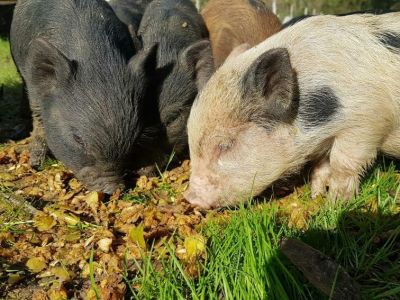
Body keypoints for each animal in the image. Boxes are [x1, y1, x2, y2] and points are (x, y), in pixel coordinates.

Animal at [10, 0, 158, 192]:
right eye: (78, 139)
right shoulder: (34, 89)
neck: (93, 55)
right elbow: (38, 117)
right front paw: (36, 164)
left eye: (135, 137)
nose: (112, 189)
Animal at [186, 12, 400, 209]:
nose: (190, 199)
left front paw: (335, 205)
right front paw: (316, 195)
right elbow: (320, 166)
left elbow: (342, 164)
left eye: (225, 145)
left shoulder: (367, 121)